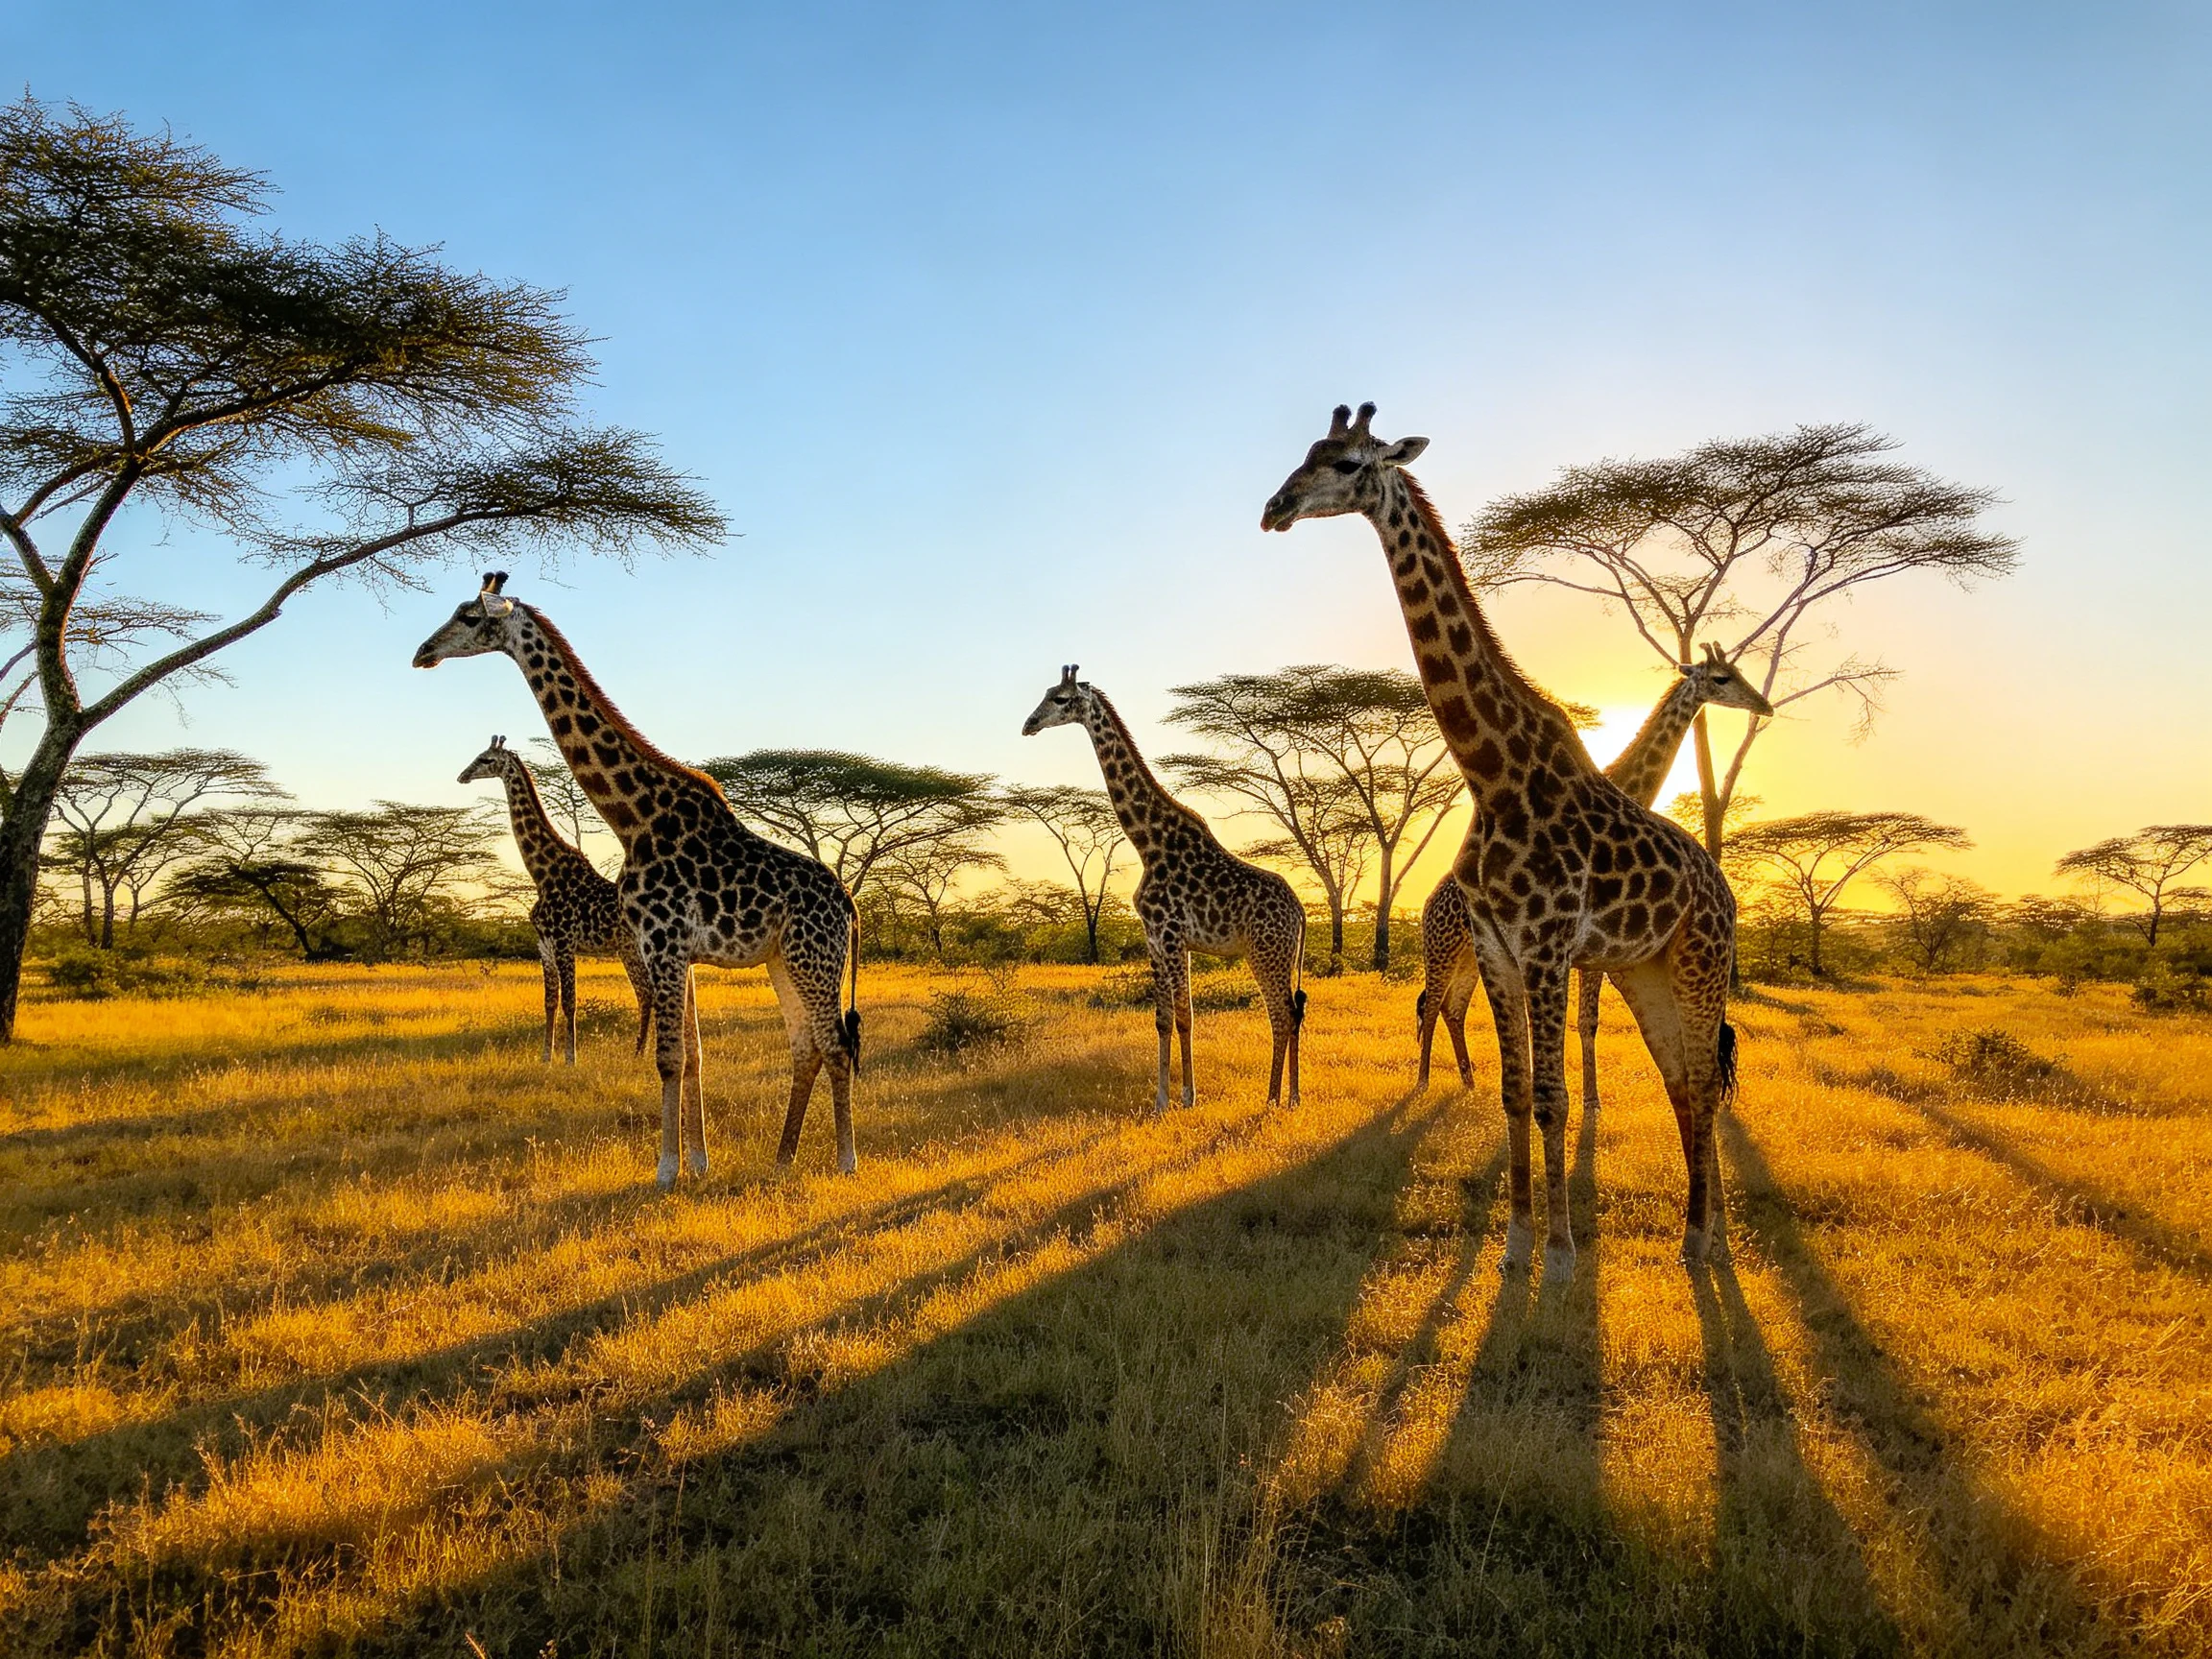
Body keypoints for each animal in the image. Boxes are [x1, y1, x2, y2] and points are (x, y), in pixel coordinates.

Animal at [458, 734, 655, 1065]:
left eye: (486, 759)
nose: (462, 776)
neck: (544, 874)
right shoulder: (544, 944)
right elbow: (549, 1001)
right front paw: (545, 1057)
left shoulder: (564, 943)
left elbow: (570, 1002)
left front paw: (571, 1058)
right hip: (633, 949)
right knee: (650, 993)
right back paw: (641, 1052)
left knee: (650, 992)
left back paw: (642, 1052)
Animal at [1022, 667, 1308, 1113]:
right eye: (1048, 693)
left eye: (1061, 699)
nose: (1028, 724)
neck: (1147, 842)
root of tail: (1300, 912)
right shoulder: (1156, 938)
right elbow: (1163, 1018)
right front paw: (1160, 1099)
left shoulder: (1171, 935)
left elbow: (1183, 1016)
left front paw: (1188, 1097)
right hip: (1280, 954)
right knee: (1293, 1013)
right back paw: (1292, 1096)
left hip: (1265, 951)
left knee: (1282, 1014)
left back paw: (1274, 1097)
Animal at [1416, 643, 1771, 1102]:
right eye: (1721, 678)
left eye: (1737, 673)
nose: (1763, 705)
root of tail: (1428, 903)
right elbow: (1585, 1020)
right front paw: (1591, 1102)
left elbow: (1584, 1020)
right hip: (1443, 948)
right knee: (1431, 1004)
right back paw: (1423, 1081)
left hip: (1469, 956)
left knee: (1451, 1007)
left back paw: (1469, 1082)